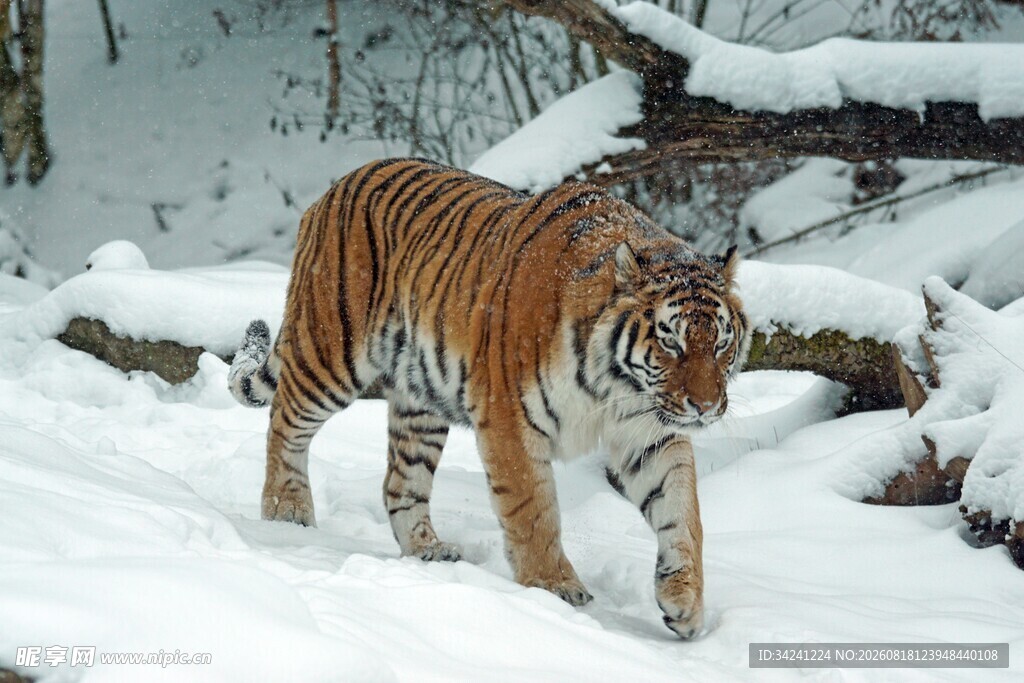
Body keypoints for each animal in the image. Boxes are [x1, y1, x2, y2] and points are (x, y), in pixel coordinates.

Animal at [228, 158, 749, 639]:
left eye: (721, 343)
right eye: (671, 342)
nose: (706, 407)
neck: (617, 386)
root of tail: (335, 186)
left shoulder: (650, 432)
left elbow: (682, 511)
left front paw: (684, 601)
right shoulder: (509, 420)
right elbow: (533, 510)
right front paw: (554, 587)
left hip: (420, 401)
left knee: (400, 482)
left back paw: (428, 550)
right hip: (331, 350)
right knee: (285, 422)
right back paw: (285, 512)